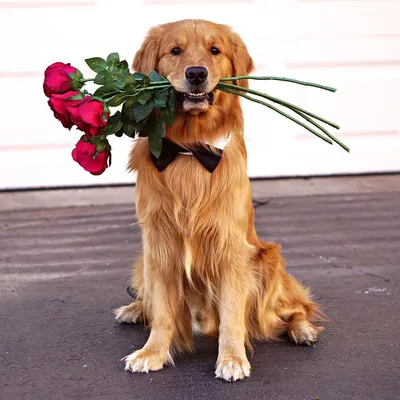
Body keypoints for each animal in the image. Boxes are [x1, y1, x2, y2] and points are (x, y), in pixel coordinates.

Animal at [115, 18, 322, 382]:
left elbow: (231, 314)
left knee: (294, 309)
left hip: (268, 261)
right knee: (149, 301)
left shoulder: (231, 249)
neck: (188, 149)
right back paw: (134, 309)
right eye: (175, 50)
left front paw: (232, 358)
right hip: (144, 261)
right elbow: (163, 311)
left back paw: (303, 330)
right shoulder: (160, 243)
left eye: (215, 50)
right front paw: (152, 353)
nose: (196, 73)